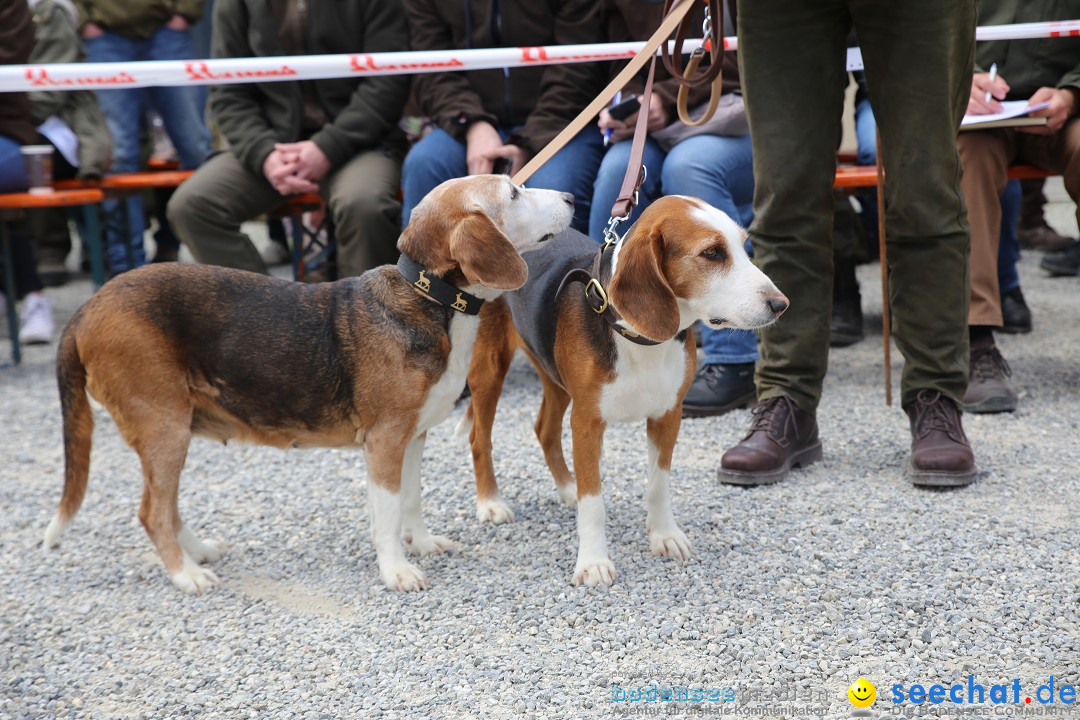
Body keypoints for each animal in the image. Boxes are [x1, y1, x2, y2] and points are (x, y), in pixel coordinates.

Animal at [44, 177, 574, 595]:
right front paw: (396, 570)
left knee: (166, 507)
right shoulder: (384, 442)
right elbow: (386, 515)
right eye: (513, 191)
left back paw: (197, 552)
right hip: (164, 429)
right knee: (152, 513)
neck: (427, 296)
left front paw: (421, 544)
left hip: (172, 434)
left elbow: (411, 500)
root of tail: (87, 307)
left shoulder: (413, 437)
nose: (571, 196)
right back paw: (185, 575)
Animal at [462, 195, 786, 587]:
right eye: (711, 253)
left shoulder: (668, 415)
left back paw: (566, 487)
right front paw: (593, 561)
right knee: (480, 438)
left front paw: (664, 536)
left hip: (554, 376)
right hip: (489, 369)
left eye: (743, 245)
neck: (637, 335)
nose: (781, 304)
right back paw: (491, 503)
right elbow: (593, 502)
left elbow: (658, 486)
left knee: (544, 430)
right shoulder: (587, 423)